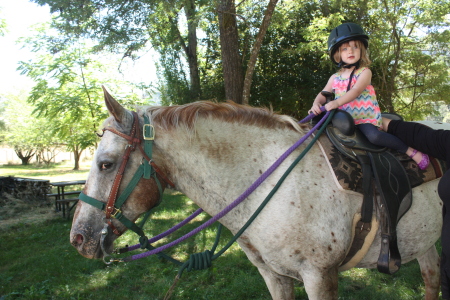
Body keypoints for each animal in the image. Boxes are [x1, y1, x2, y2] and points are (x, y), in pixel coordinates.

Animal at [71, 87, 442, 300]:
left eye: (106, 164)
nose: (78, 238)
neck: (268, 178)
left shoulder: (320, 276)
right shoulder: (274, 275)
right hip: (423, 241)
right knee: (432, 280)